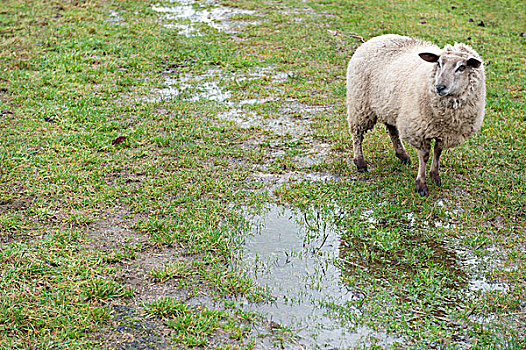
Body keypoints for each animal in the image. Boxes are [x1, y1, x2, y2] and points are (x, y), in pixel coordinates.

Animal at [348, 33, 488, 197]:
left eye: (462, 67)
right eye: (439, 64)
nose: (440, 87)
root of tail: (377, 38)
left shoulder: (444, 133)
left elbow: (438, 152)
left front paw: (435, 177)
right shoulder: (418, 130)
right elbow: (425, 156)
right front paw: (421, 184)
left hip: (388, 105)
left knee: (392, 130)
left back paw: (402, 155)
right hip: (360, 103)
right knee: (357, 133)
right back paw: (360, 162)